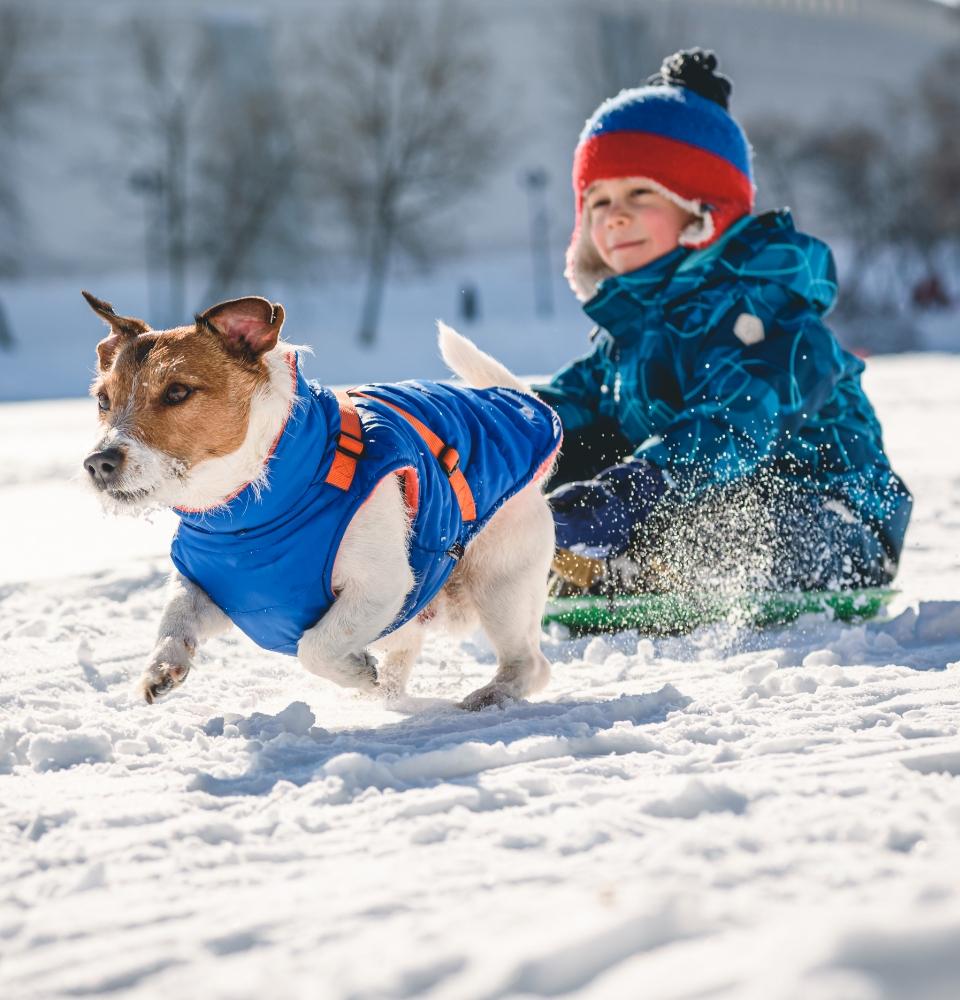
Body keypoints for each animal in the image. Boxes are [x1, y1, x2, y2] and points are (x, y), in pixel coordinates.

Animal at [84, 290, 564, 712]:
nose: (98, 463)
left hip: (499, 584)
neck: (247, 516)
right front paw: (161, 668)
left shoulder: (382, 587)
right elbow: (174, 615)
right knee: (408, 650)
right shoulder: (231, 592)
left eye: (177, 392)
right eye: (103, 399)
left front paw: (357, 672)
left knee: (531, 666)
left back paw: (485, 696)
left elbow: (313, 647)